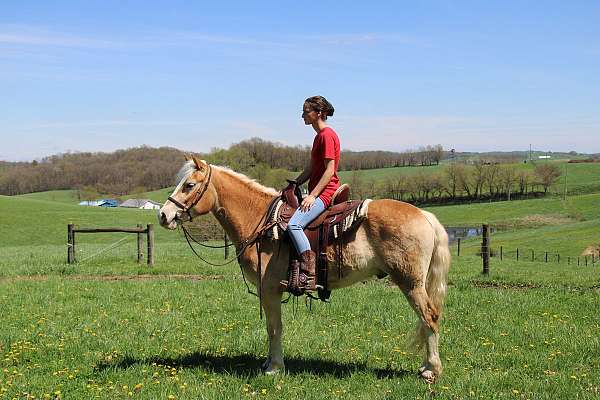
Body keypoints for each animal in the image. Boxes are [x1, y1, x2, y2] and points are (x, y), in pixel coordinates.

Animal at [159, 155, 450, 382]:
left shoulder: (270, 290)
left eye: (189, 185)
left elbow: (274, 327)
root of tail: (424, 215)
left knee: (429, 317)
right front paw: (269, 363)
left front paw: (275, 368)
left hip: (410, 283)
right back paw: (426, 366)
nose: (163, 215)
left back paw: (431, 370)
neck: (260, 220)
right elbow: (272, 328)